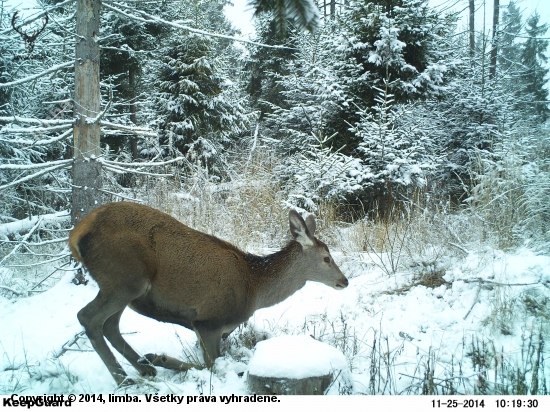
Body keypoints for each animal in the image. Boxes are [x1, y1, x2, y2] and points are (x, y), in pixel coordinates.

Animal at [70, 203, 350, 386]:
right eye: (326, 258)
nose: (344, 281)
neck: (254, 288)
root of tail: (75, 234)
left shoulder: (210, 328)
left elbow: (210, 364)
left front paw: (156, 358)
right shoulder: (208, 321)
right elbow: (212, 366)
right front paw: (161, 357)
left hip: (124, 289)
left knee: (110, 325)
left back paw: (143, 367)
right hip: (124, 279)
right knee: (88, 317)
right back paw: (125, 378)